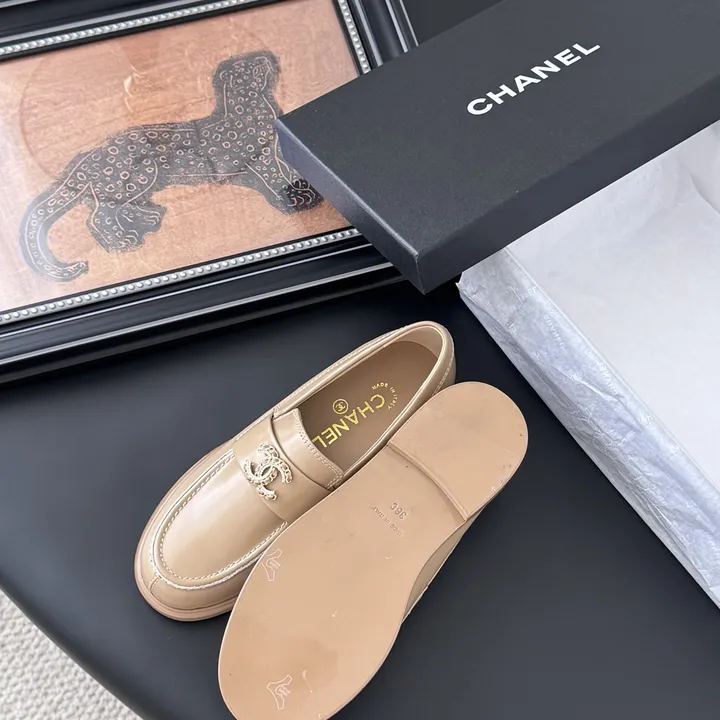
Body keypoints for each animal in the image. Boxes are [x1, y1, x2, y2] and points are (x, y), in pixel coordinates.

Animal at [19, 51, 323, 282]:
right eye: (243, 68)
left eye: (255, 60)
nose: (264, 58)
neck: (258, 109)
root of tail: (89, 156)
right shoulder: (256, 159)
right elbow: (274, 178)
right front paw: (295, 199)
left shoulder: (277, 152)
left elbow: (290, 172)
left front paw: (305, 192)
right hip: (138, 175)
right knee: (98, 215)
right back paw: (123, 241)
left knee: (114, 208)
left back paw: (149, 218)